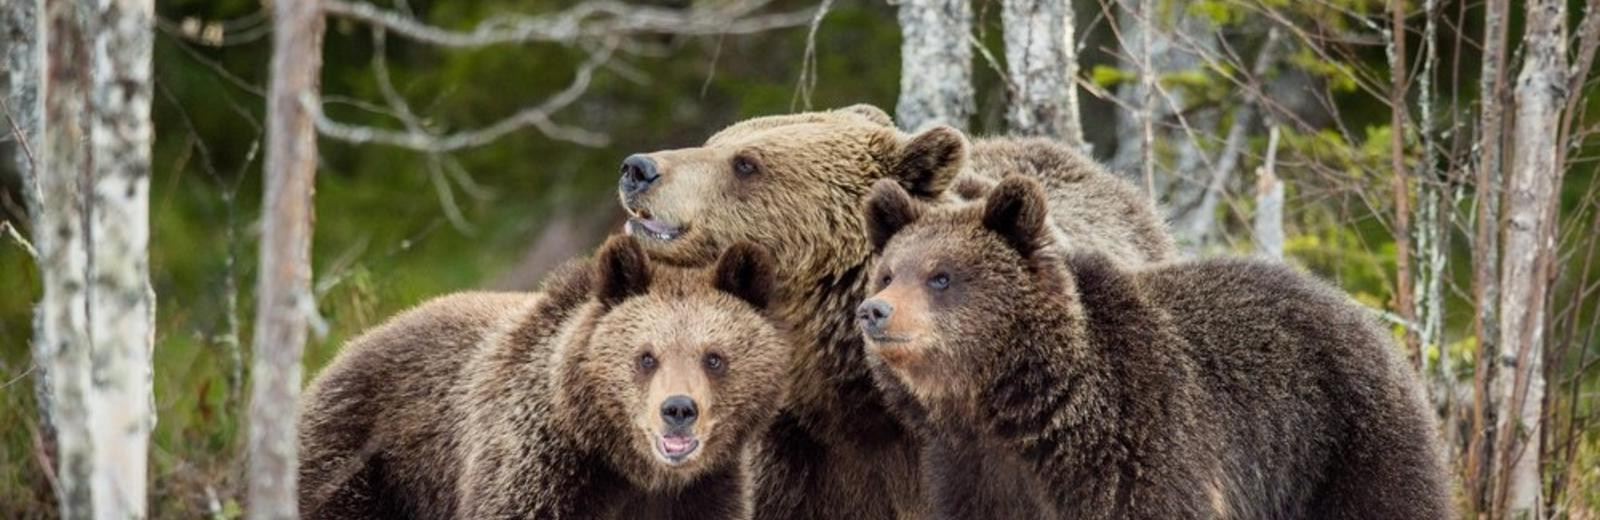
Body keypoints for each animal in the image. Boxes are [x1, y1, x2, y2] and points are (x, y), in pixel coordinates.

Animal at [299, 235, 787, 518]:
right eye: (646, 357)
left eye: (714, 358)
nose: (678, 410)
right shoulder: (539, 466)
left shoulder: (703, 490)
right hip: (358, 463)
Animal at [857, 176, 1459, 515]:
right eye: (888, 273)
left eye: (940, 276)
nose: (874, 311)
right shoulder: (973, 470)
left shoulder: (1136, 442)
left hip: (1345, 446)